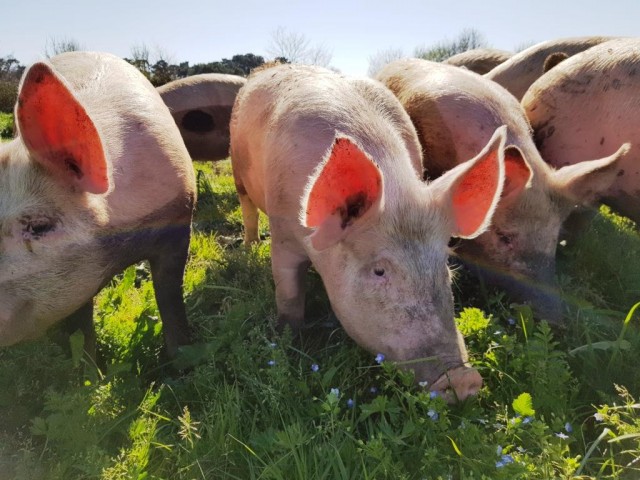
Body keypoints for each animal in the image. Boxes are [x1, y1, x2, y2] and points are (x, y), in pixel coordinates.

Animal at [0, 52, 196, 358]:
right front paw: (89, 367)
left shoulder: (178, 219)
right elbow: (81, 326)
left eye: (40, 226)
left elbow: (170, 297)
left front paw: (182, 360)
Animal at [229, 63, 510, 402]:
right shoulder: (283, 233)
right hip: (236, 169)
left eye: (445, 268)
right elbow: (289, 293)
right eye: (379, 271)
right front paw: (287, 341)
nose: (462, 379)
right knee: (247, 208)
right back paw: (247, 247)